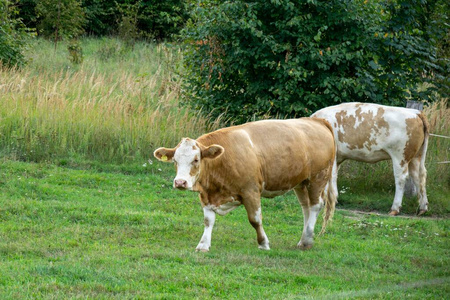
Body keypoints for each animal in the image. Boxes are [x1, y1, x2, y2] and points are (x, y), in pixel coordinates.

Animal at [153, 118, 336, 252]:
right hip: (301, 182)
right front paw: (203, 244)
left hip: (318, 178)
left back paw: (307, 239)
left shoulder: (251, 191)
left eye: (196, 159)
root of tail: (317, 121)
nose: (180, 182)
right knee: (306, 207)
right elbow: (208, 220)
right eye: (175, 161)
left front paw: (263, 243)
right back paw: (303, 239)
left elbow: (255, 219)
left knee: (315, 205)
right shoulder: (207, 195)